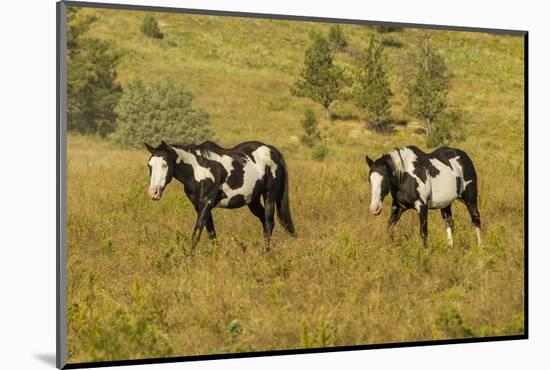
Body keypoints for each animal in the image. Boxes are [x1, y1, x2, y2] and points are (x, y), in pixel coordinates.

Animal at [144, 140, 296, 253]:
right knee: (265, 222)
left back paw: (266, 254)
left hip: (270, 196)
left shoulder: (207, 203)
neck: (198, 170)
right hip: (253, 201)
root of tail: (272, 150)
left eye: (164, 164)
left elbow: (196, 233)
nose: (153, 192)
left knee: (269, 222)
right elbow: (211, 233)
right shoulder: (200, 207)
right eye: (149, 165)